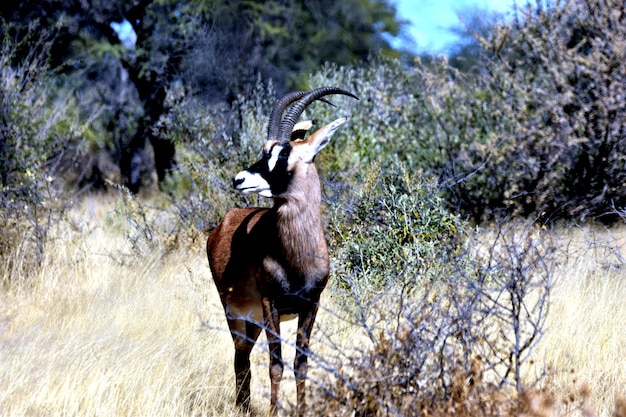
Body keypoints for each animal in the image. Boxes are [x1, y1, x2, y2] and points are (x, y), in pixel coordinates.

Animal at [208, 86, 358, 414]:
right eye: (265, 149)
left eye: (284, 153)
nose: (239, 179)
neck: (295, 258)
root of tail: (222, 224)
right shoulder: (271, 305)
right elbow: (275, 365)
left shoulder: (311, 305)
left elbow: (301, 363)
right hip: (239, 315)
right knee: (242, 357)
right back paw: (243, 407)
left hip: (253, 321)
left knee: (243, 357)